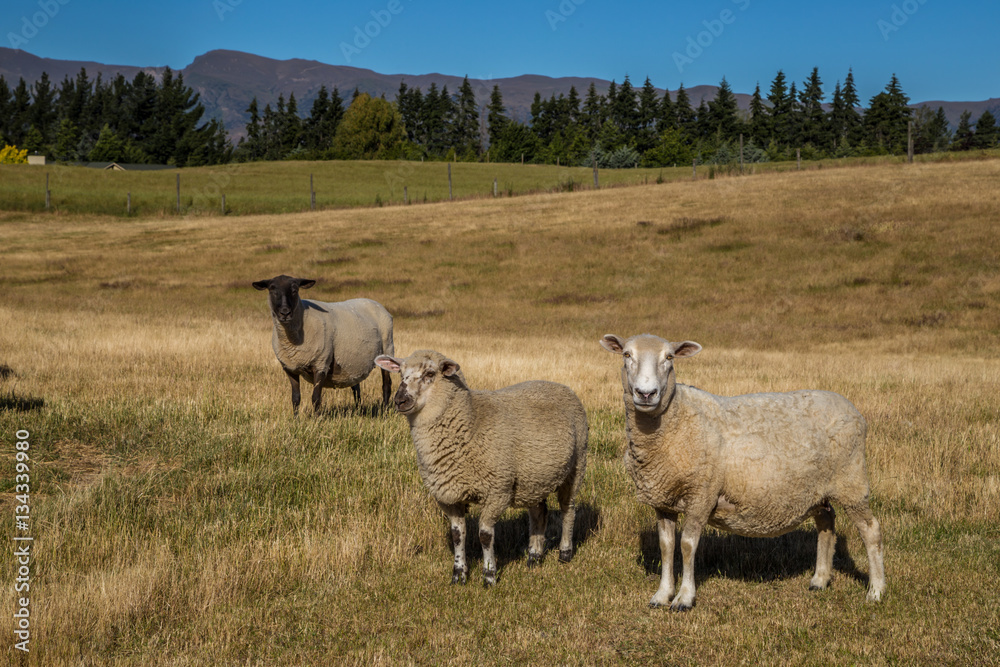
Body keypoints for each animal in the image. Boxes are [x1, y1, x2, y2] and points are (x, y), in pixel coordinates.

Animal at [252, 275, 394, 415]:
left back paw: (385, 411)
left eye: (295, 290)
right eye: (272, 290)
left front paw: (316, 419)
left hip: (387, 347)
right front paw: (296, 419)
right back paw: (359, 410)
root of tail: (375, 302)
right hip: (353, 362)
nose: (285, 312)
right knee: (356, 387)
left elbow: (316, 398)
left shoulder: (321, 363)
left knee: (386, 385)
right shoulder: (290, 368)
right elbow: (295, 398)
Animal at [375, 350, 588, 586]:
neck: (471, 421)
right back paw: (534, 556)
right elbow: (458, 535)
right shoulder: (448, 496)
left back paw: (565, 553)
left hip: (576, 465)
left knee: (568, 510)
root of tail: (562, 386)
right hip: (532, 478)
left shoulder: (497, 491)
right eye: (400, 372)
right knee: (539, 513)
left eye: (430, 373)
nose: (400, 400)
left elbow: (485, 535)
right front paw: (459, 574)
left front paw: (489, 575)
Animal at [600, 333, 885, 610]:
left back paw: (876, 591)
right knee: (826, 521)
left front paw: (684, 598)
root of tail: (852, 409)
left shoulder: (701, 493)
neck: (675, 419)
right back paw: (820, 579)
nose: (646, 393)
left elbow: (687, 545)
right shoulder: (663, 499)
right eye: (627, 354)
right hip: (816, 488)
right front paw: (662, 595)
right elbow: (666, 546)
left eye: (669, 357)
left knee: (871, 530)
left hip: (851, 481)